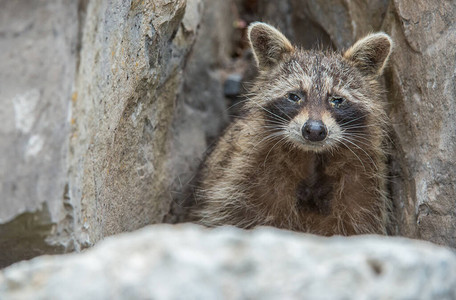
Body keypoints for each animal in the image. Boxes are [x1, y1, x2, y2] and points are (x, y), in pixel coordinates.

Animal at [194, 22, 394, 236]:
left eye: (337, 100)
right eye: (294, 96)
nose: (314, 130)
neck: (312, 158)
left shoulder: (363, 188)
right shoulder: (243, 179)